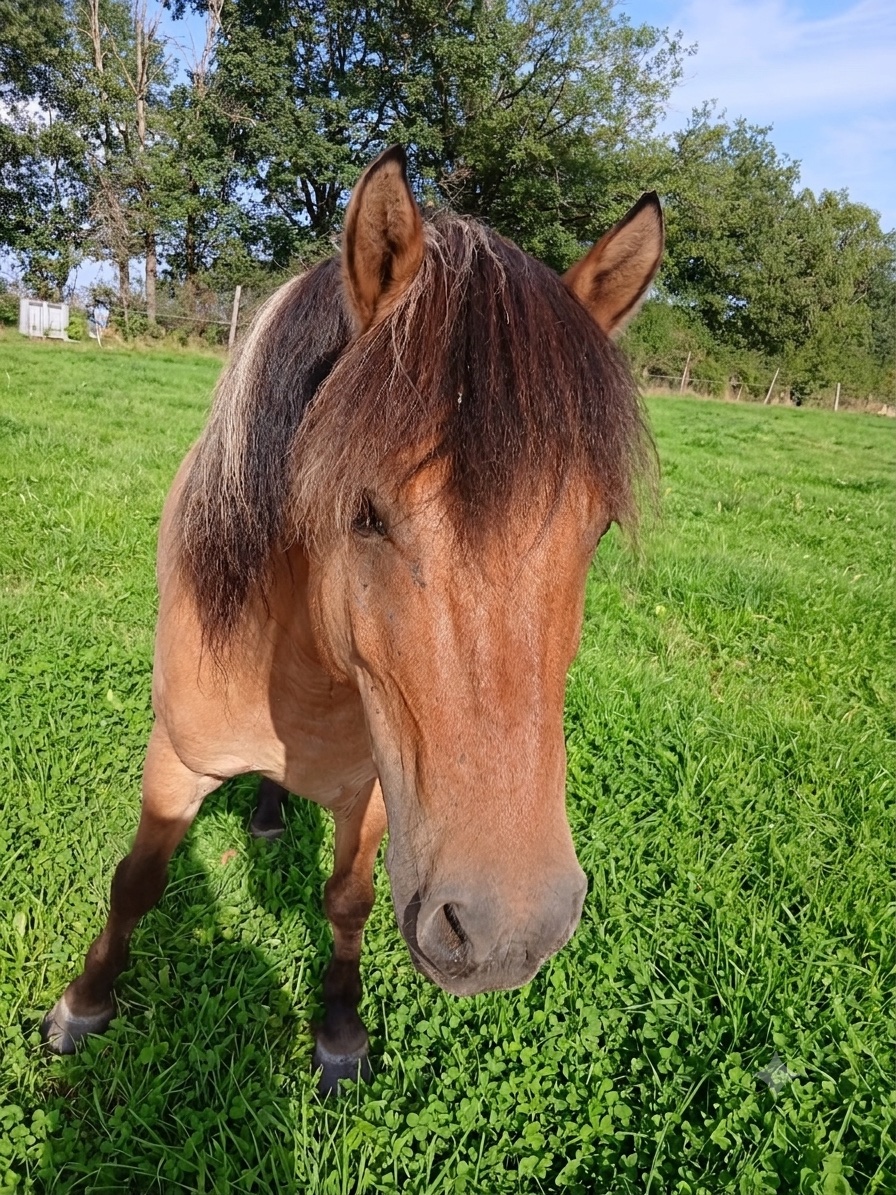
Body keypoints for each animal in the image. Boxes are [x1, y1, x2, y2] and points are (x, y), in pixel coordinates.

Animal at [42, 146, 663, 1095]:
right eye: (365, 513)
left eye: (593, 529)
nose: (508, 930)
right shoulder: (174, 762)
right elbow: (137, 880)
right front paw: (84, 1003)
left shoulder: (376, 792)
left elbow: (348, 900)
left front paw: (339, 1029)